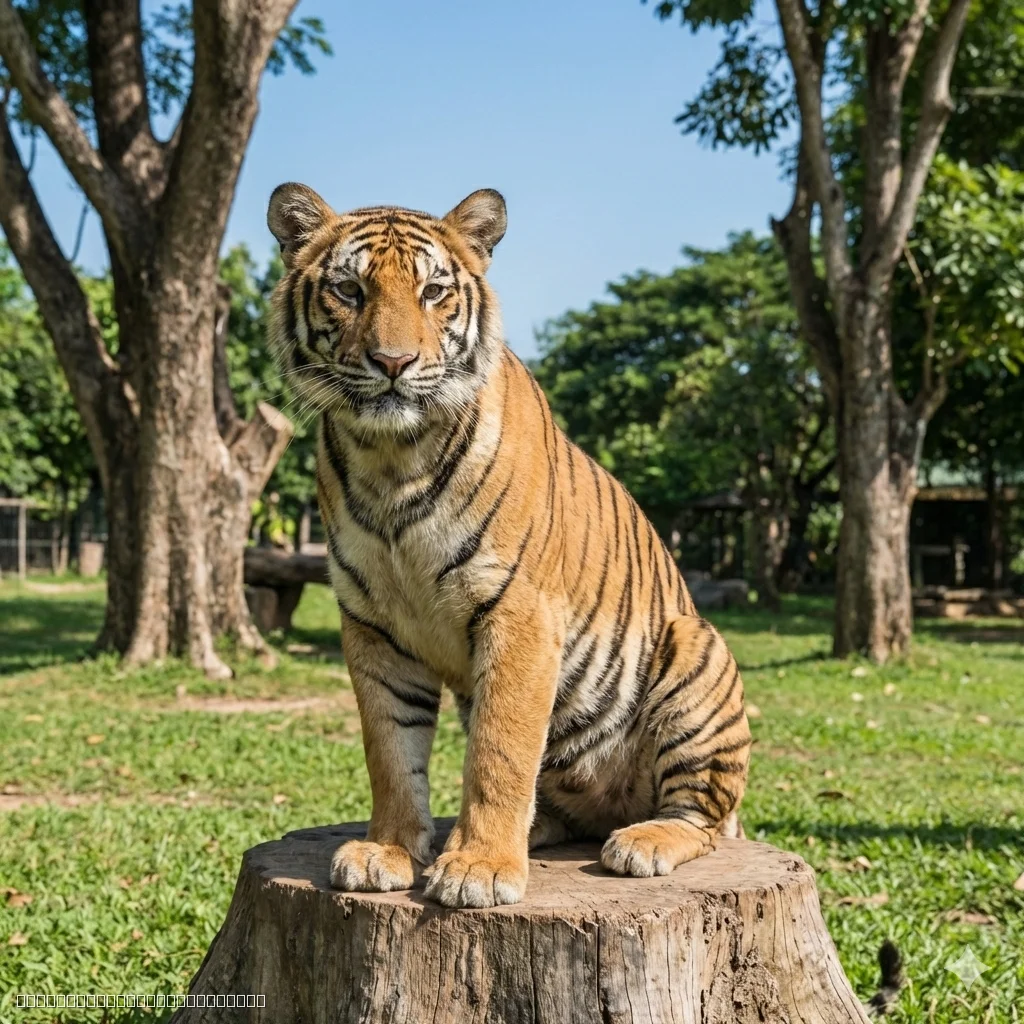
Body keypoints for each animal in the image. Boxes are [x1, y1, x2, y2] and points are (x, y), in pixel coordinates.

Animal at [266, 183, 752, 910]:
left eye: (434, 292)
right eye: (349, 291)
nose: (393, 363)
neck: (390, 458)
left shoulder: (519, 613)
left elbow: (499, 754)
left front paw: (480, 867)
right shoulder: (373, 626)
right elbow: (390, 751)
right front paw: (388, 850)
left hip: (695, 649)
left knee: (705, 819)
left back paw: (642, 842)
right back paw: (539, 828)